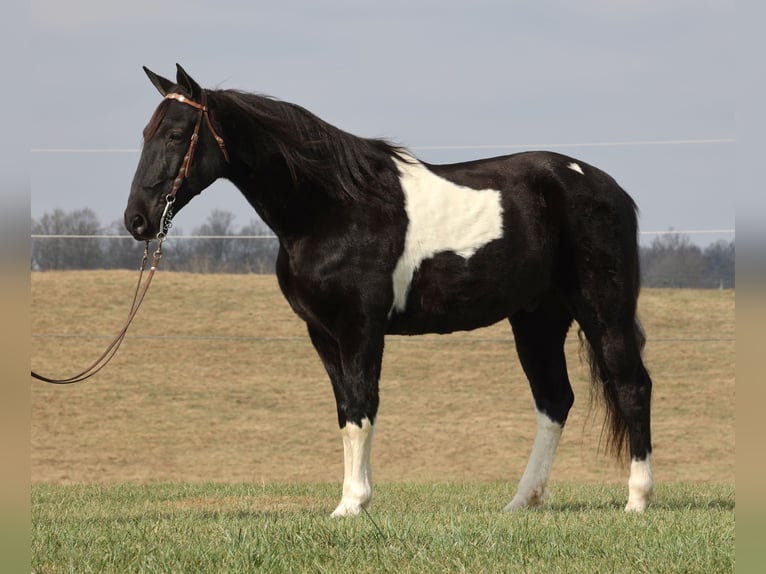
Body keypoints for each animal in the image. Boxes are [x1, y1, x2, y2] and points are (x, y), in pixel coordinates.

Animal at [124, 64, 656, 516]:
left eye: (176, 134)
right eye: (146, 133)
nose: (138, 220)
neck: (334, 207)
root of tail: (610, 189)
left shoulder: (360, 326)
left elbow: (363, 405)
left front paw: (353, 503)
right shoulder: (323, 333)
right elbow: (347, 411)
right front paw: (352, 500)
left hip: (602, 310)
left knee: (632, 387)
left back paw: (637, 501)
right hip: (537, 319)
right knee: (554, 400)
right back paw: (521, 502)